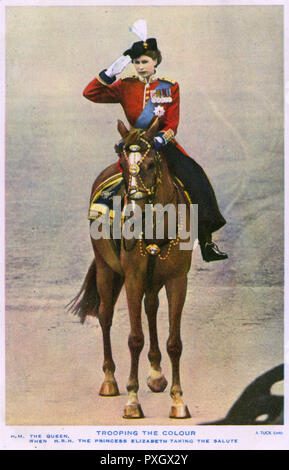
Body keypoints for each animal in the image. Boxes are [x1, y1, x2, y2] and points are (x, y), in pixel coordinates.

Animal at [69, 118, 194, 418]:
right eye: (124, 166)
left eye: (150, 164)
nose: (132, 214)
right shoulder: (133, 279)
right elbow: (135, 338)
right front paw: (133, 400)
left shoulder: (177, 280)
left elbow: (175, 342)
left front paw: (178, 400)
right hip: (106, 269)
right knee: (105, 316)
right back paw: (110, 380)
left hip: (152, 280)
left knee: (151, 308)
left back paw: (156, 373)